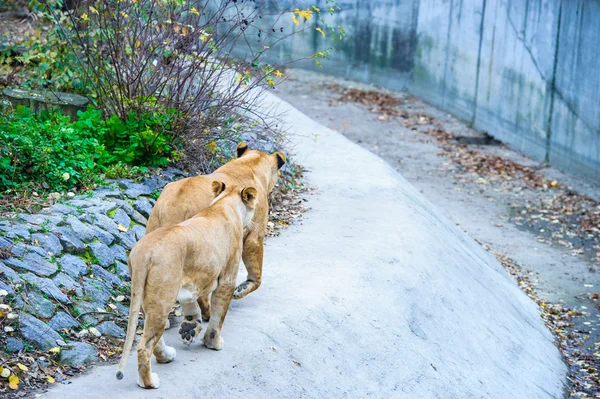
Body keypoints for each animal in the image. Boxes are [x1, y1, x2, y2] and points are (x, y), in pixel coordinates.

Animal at [117, 183, 258, 390]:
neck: (224, 203)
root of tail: (144, 252)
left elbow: (191, 308)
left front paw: (190, 327)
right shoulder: (227, 280)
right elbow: (218, 317)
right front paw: (213, 343)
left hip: (144, 296)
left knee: (152, 338)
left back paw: (166, 356)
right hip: (163, 298)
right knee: (144, 347)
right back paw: (149, 382)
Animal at [145, 142, 286, 320]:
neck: (251, 163)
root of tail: (175, 204)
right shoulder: (255, 233)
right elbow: (256, 270)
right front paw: (242, 289)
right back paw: (207, 312)